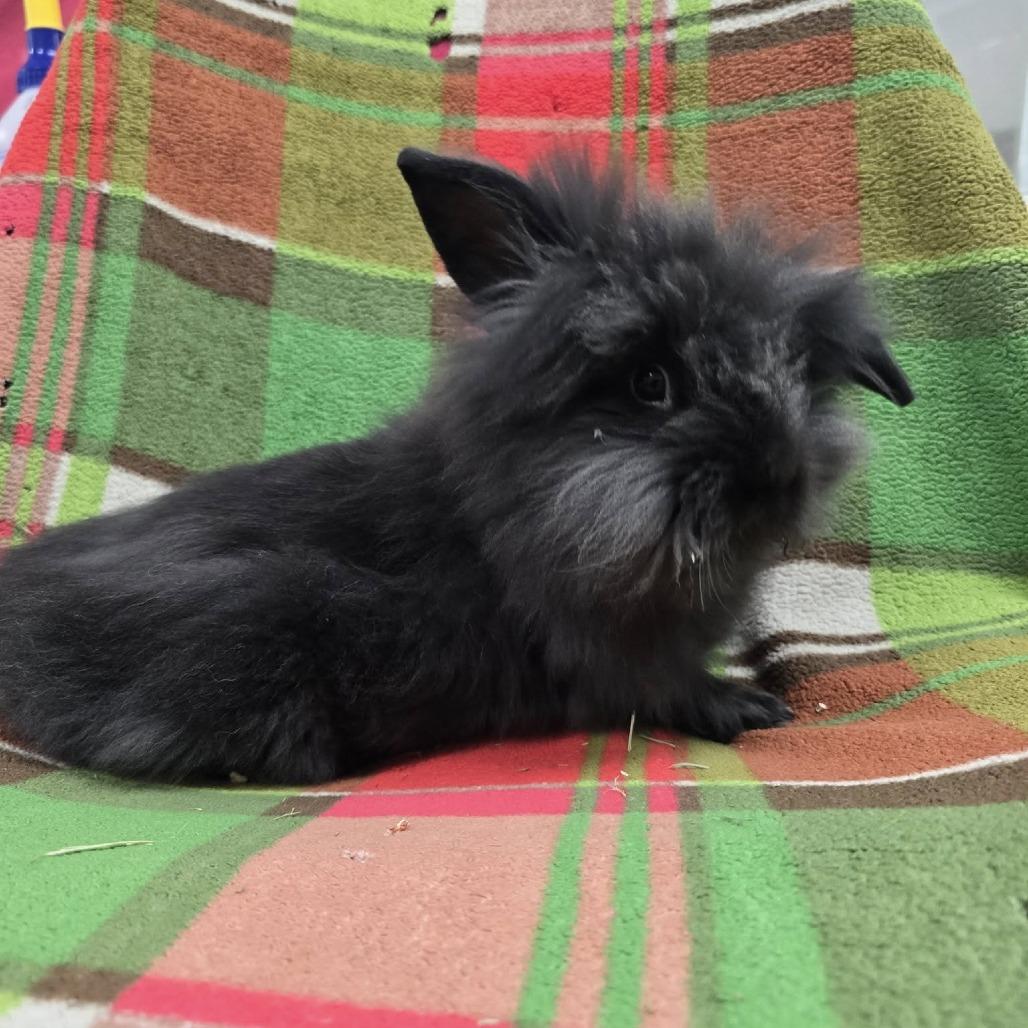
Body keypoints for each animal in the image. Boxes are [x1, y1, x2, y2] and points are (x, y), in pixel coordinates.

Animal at [0, 147, 913, 784]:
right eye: (651, 383)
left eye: (799, 375)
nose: (777, 478)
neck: (507, 512)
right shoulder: (609, 647)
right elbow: (667, 686)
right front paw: (748, 707)